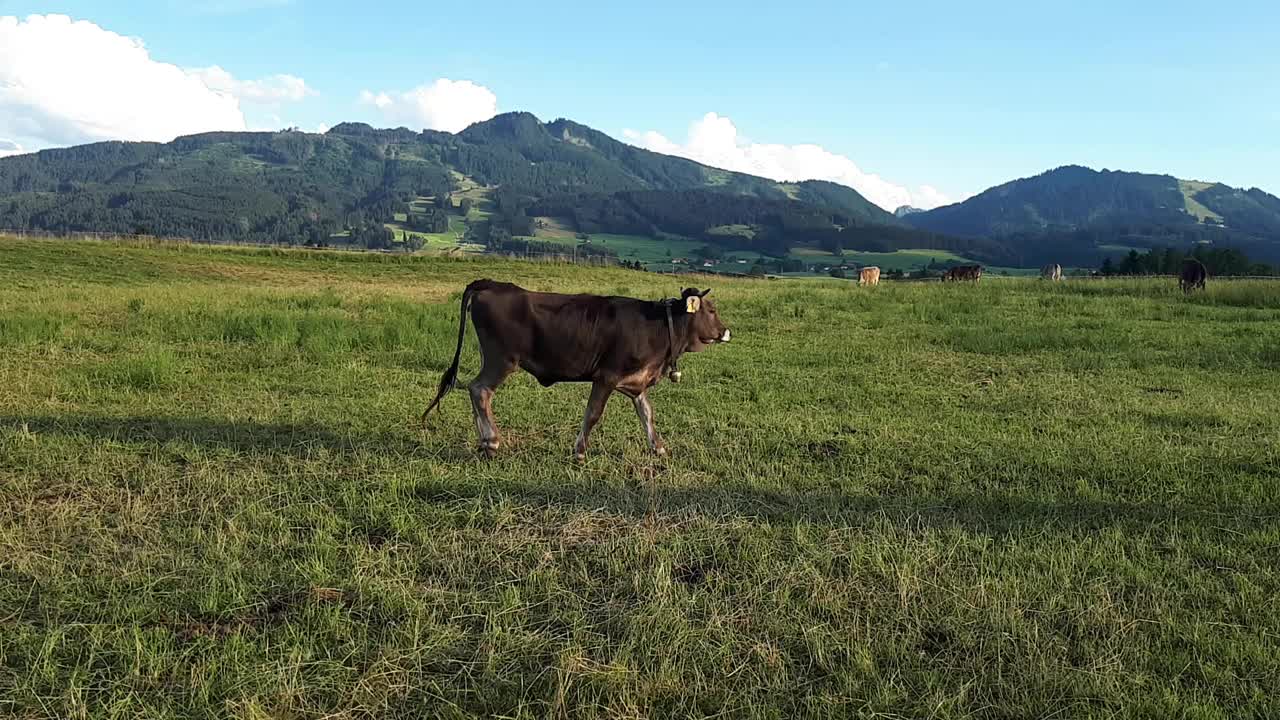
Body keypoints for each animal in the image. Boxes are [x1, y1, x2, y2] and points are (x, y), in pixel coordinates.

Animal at [422, 278, 732, 456]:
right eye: (712, 310)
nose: (727, 331)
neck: (657, 328)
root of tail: (490, 284)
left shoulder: (636, 381)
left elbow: (647, 414)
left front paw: (658, 448)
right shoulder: (606, 376)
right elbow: (593, 414)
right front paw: (580, 451)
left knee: (475, 391)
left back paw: (484, 440)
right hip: (502, 359)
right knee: (480, 390)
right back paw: (492, 440)